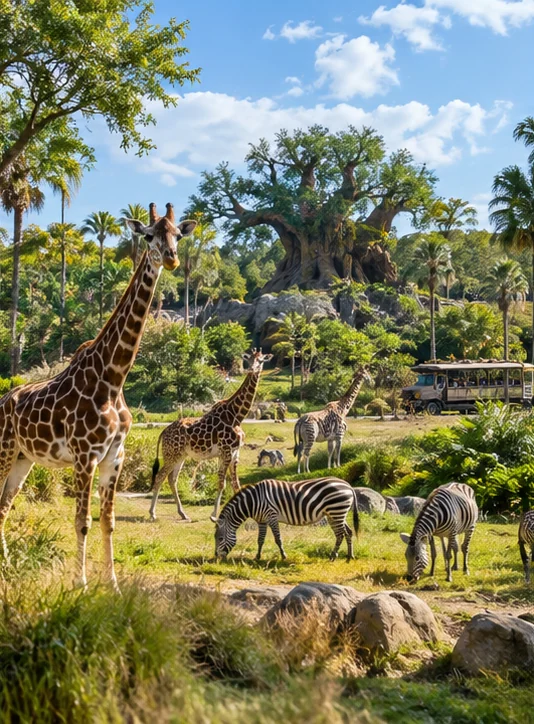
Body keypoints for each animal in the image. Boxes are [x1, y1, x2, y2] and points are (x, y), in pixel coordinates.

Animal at [0, 202, 196, 589]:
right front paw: (81, 584)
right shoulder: (84, 456)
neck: (113, 378)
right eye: (148, 236)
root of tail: (4, 400)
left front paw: (114, 586)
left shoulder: (113, 457)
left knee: (4, 504)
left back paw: (5, 565)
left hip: (23, 458)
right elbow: (83, 521)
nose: (170, 259)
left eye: (177, 236)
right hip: (3, 449)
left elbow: (109, 522)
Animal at [150, 349, 273, 523]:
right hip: (171, 454)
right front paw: (214, 516)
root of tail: (163, 432)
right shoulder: (226, 451)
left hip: (180, 455)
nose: (251, 369)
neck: (237, 415)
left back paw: (183, 513)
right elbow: (222, 483)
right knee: (161, 476)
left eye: (261, 360)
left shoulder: (234, 453)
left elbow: (235, 484)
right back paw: (152, 513)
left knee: (172, 479)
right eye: (248, 360)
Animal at [214, 477, 359, 562]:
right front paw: (257, 557)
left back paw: (333, 556)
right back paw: (349, 556)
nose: (216, 557)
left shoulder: (271, 516)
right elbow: (260, 540)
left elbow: (278, 539)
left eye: (220, 538)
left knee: (341, 534)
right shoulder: (262, 520)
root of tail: (348, 485)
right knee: (348, 532)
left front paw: (283, 556)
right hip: (334, 514)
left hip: (336, 511)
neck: (253, 502)